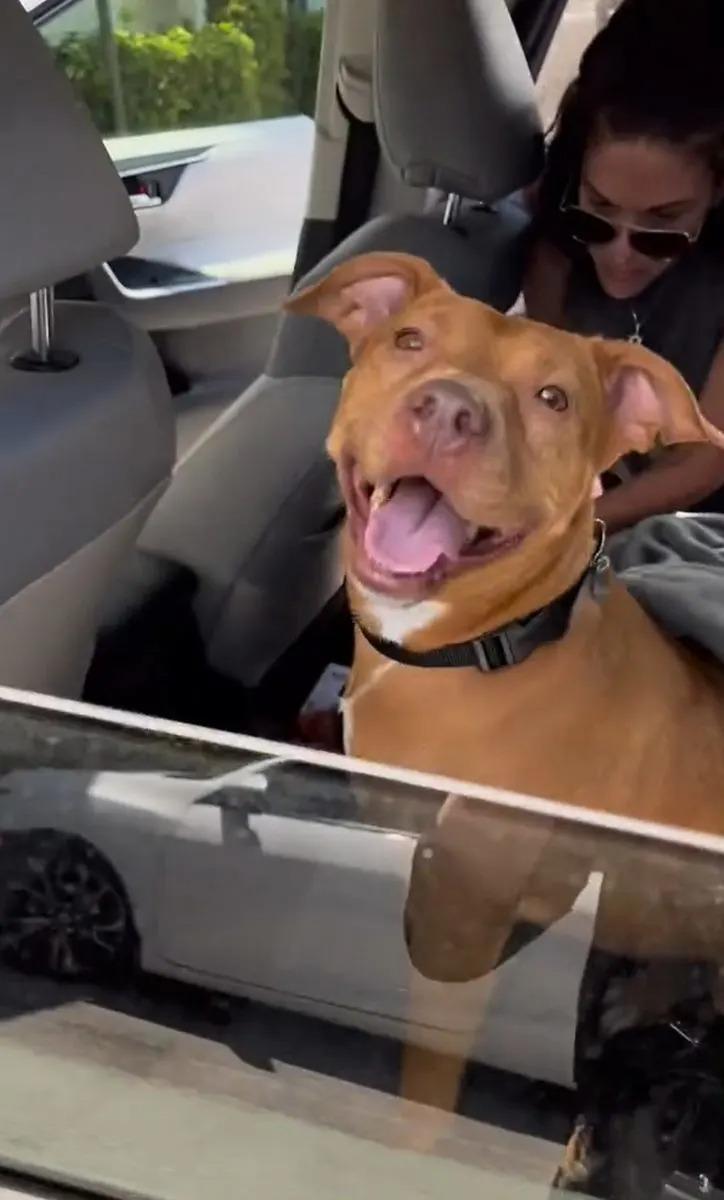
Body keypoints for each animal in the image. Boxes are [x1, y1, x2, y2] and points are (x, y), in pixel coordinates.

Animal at [285, 253, 724, 1161]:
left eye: (553, 398)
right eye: (409, 341)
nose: (450, 410)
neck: (486, 645)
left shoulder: (468, 906)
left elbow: (428, 1073)